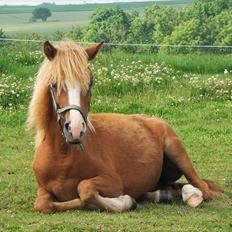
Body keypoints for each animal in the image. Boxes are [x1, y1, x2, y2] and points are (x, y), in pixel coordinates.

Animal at [28, 40, 222, 214]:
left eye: (90, 83)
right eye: (54, 84)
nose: (76, 130)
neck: (63, 157)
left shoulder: (113, 181)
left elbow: (85, 188)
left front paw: (127, 201)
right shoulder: (43, 189)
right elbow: (43, 205)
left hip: (177, 152)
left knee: (202, 188)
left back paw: (191, 197)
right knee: (173, 187)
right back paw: (161, 195)